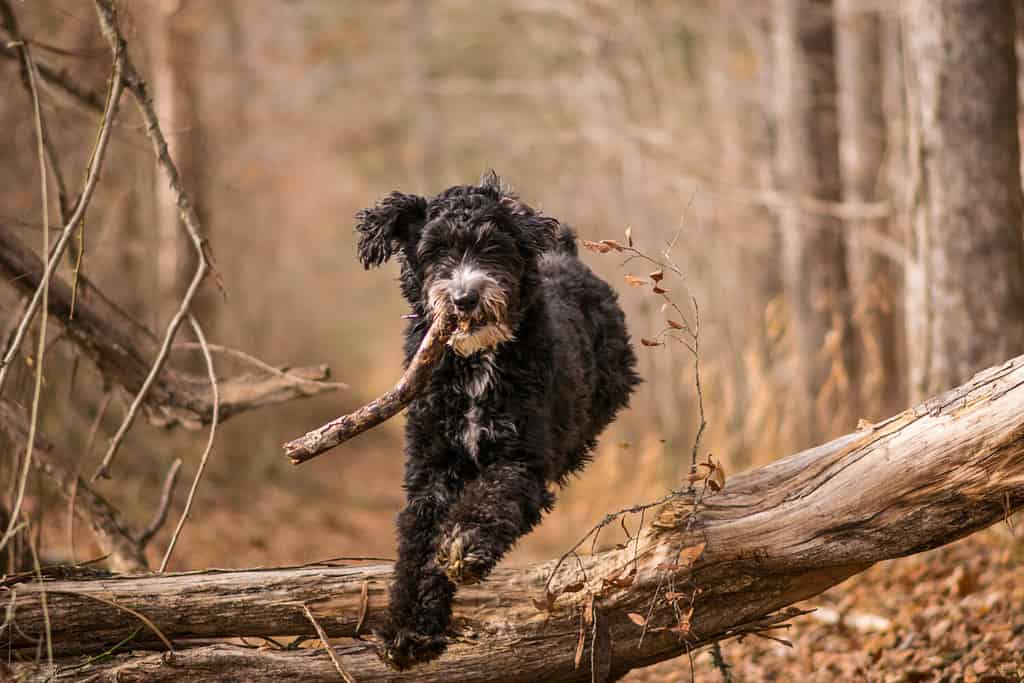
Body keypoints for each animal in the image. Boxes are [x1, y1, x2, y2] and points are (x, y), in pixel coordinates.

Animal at [356, 172, 634, 671]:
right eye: (436, 251)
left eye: (492, 247)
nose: (464, 298)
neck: (476, 365)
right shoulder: (431, 468)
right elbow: (417, 546)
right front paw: (409, 631)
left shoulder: (519, 459)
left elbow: (492, 497)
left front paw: (464, 546)